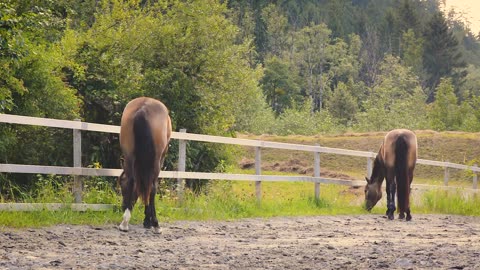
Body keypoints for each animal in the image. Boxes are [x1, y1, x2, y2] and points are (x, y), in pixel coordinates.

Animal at [117, 97, 172, 232]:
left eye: (121, 187)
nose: (122, 206)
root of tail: (143, 108)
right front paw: (149, 221)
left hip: (129, 155)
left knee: (131, 180)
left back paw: (124, 222)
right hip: (156, 162)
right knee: (152, 186)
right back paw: (155, 225)